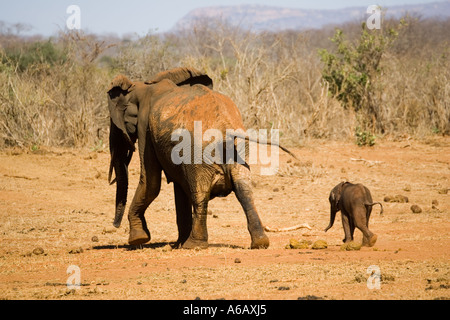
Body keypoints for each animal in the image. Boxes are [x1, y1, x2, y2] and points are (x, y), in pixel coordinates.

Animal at [107, 67, 272, 250]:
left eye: (114, 125)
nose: (115, 225)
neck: (141, 86)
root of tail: (224, 126)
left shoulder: (145, 128)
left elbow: (151, 182)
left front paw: (138, 239)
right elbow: (178, 187)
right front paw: (177, 244)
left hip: (198, 152)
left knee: (200, 192)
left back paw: (193, 245)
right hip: (239, 148)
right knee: (244, 188)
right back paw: (260, 243)